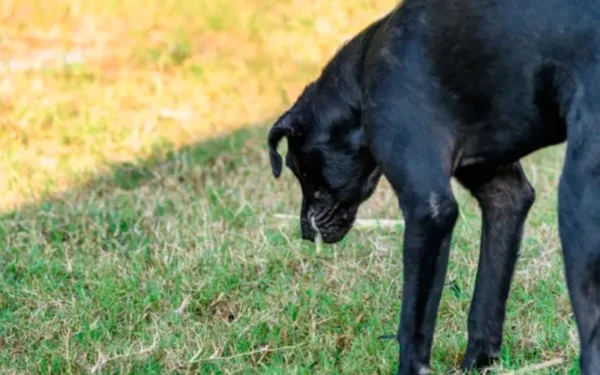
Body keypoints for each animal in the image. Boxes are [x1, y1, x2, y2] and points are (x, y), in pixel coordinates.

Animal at [270, 1, 600, 374]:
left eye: (299, 169)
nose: (303, 231)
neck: (360, 79)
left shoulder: (428, 209)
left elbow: (413, 325)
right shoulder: (502, 192)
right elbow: (486, 302)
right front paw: (477, 363)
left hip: (578, 209)